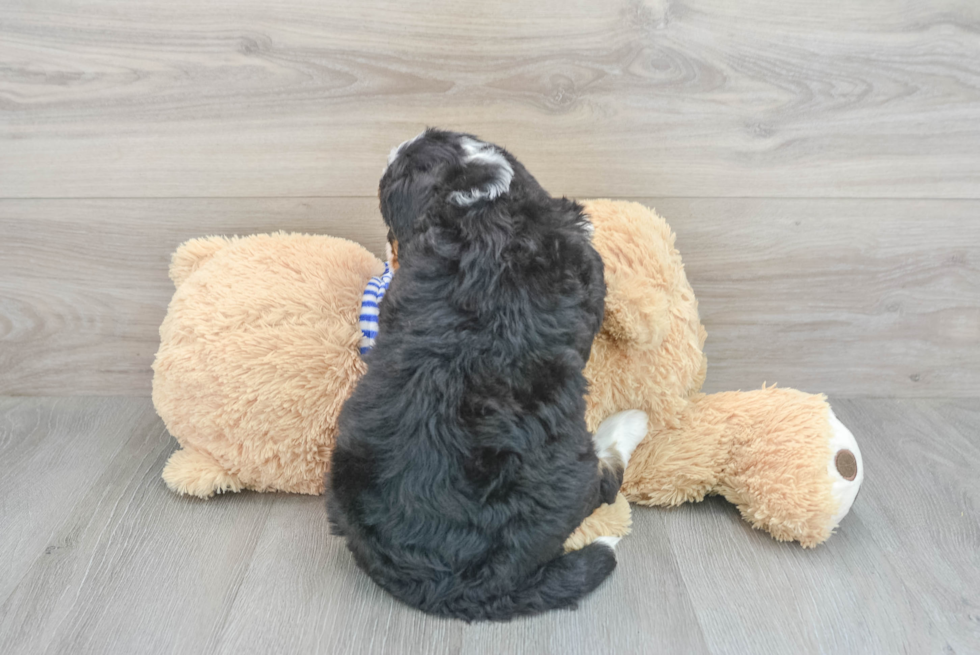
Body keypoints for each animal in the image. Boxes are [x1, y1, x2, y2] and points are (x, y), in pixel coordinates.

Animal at [330, 129, 648, 624]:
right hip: (571, 470)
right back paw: (629, 424)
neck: (478, 199)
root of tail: (452, 584)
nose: (399, 144)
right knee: (606, 481)